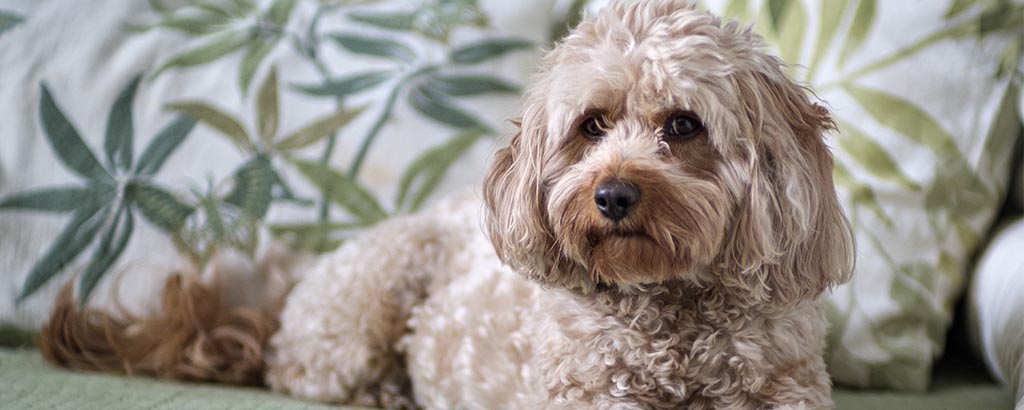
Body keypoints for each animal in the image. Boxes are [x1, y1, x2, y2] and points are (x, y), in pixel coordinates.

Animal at [39, 0, 856, 410]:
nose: (613, 193)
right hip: (362, 309)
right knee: (294, 371)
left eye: (683, 126)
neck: (670, 316)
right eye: (592, 125)